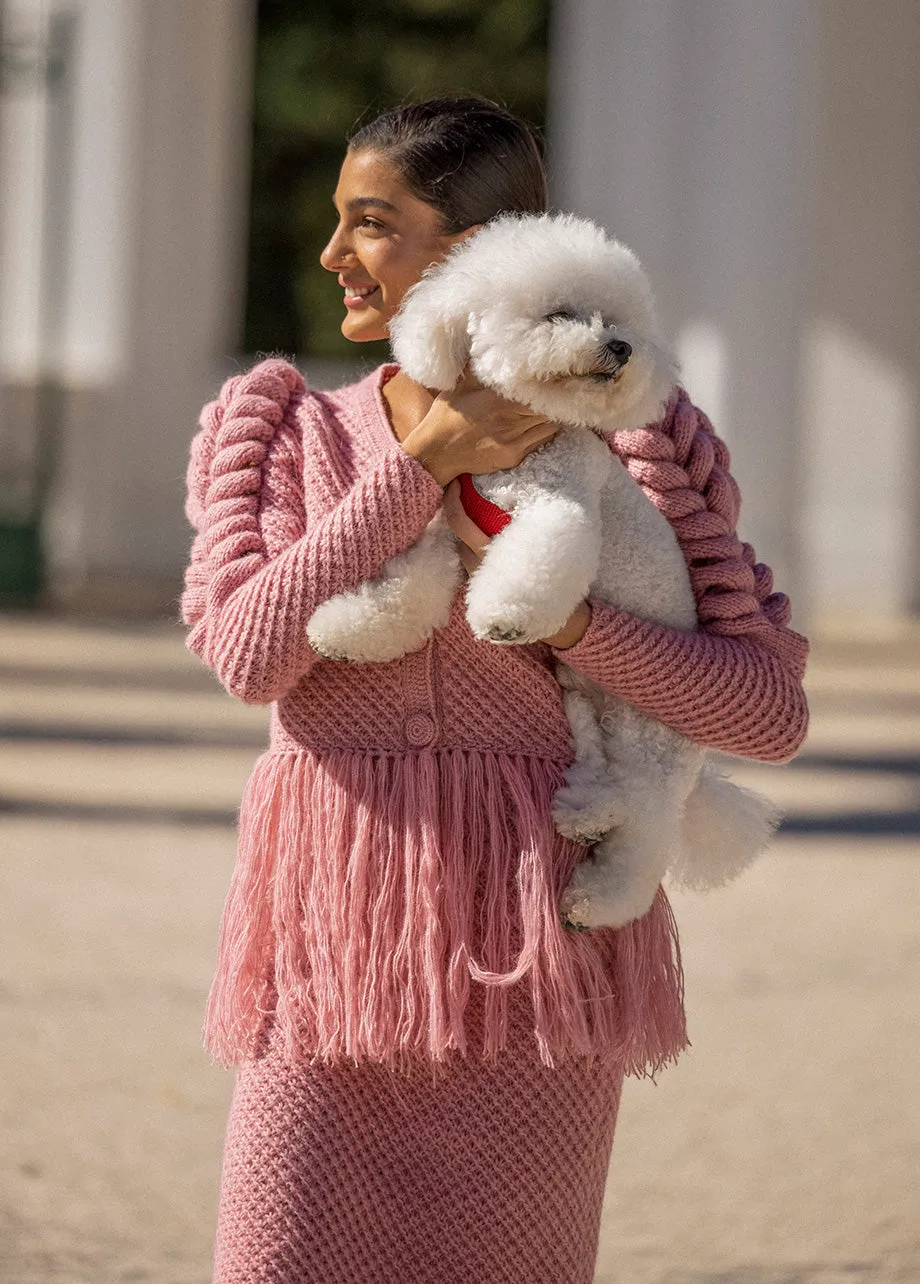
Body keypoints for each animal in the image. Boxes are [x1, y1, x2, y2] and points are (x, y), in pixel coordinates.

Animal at [306, 215, 775, 929]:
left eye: (615, 319)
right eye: (560, 314)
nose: (619, 347)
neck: (510, 459)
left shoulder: (559, 507)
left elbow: (536, 561)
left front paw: (503, 618)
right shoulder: (446, 524)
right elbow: (406, 587)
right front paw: (341, 630)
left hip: (649, 740)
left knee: (646, 829)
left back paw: (599, 899)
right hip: (587, 707)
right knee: (605, 778)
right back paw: (585, 815)